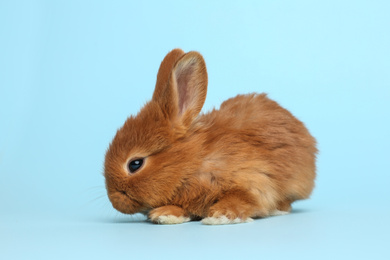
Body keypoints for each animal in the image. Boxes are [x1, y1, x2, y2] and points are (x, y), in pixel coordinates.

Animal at [103, 49, 316, 225]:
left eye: (135, 164)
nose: (114, 200)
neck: (193, 163)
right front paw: (165, 214)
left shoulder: (254, 182)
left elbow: (240, 200)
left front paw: (220, 216)